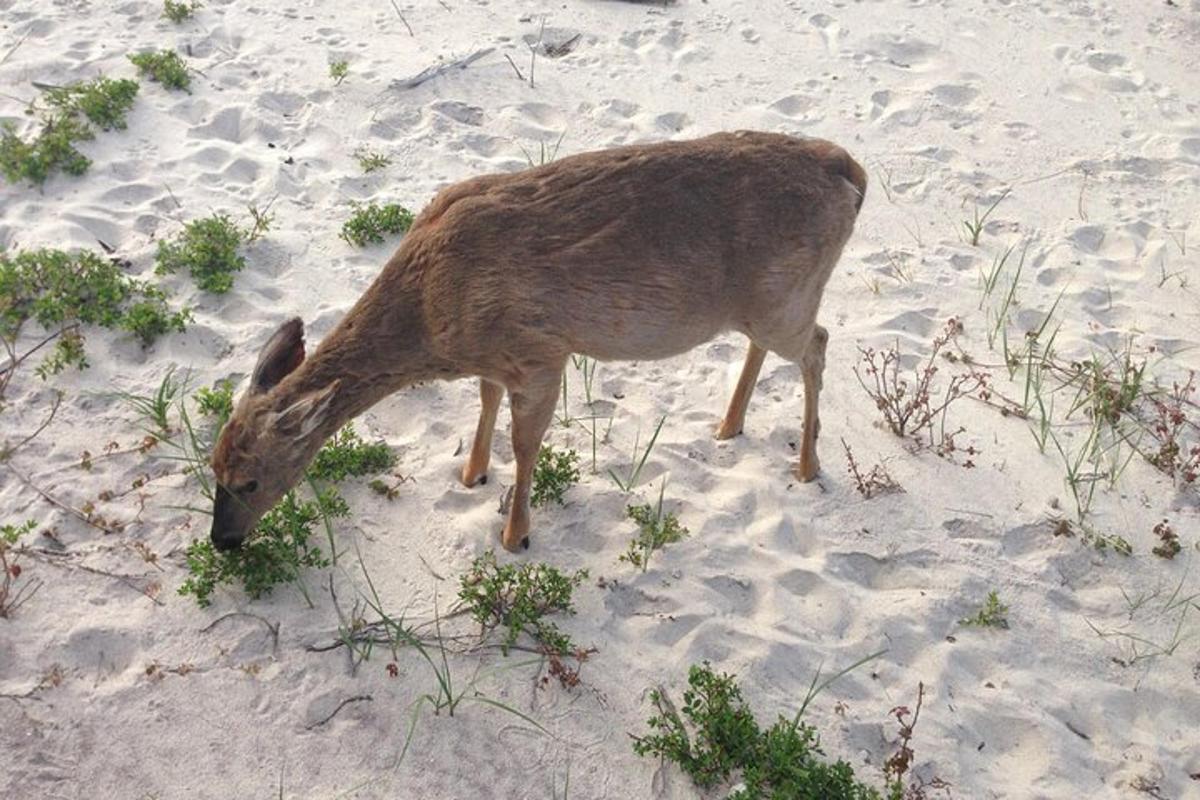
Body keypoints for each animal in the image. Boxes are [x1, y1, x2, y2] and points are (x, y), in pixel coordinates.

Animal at [206, 133, 864, 556]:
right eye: (211, 467)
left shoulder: (543, 353)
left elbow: (525, 444)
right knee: (777, 345)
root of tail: (850, 171)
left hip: (786, 299)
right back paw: (729, 425)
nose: (223, 543)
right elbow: (486, 402)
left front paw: (515, 534)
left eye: (250, 482)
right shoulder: (498, 359)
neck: (432, 315)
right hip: (767, 303)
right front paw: (471, 473)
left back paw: (807, 464)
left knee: (820, 343)